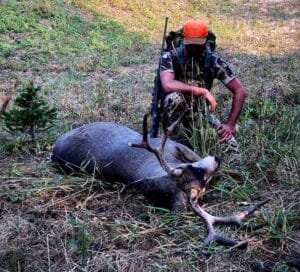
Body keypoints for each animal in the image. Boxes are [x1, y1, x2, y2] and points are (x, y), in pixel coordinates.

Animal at [50, 111, 268, 249]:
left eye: (194, 170)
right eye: (199, 175)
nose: (217, 158)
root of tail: (53, 151)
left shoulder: (179, 148)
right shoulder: (174, 145)